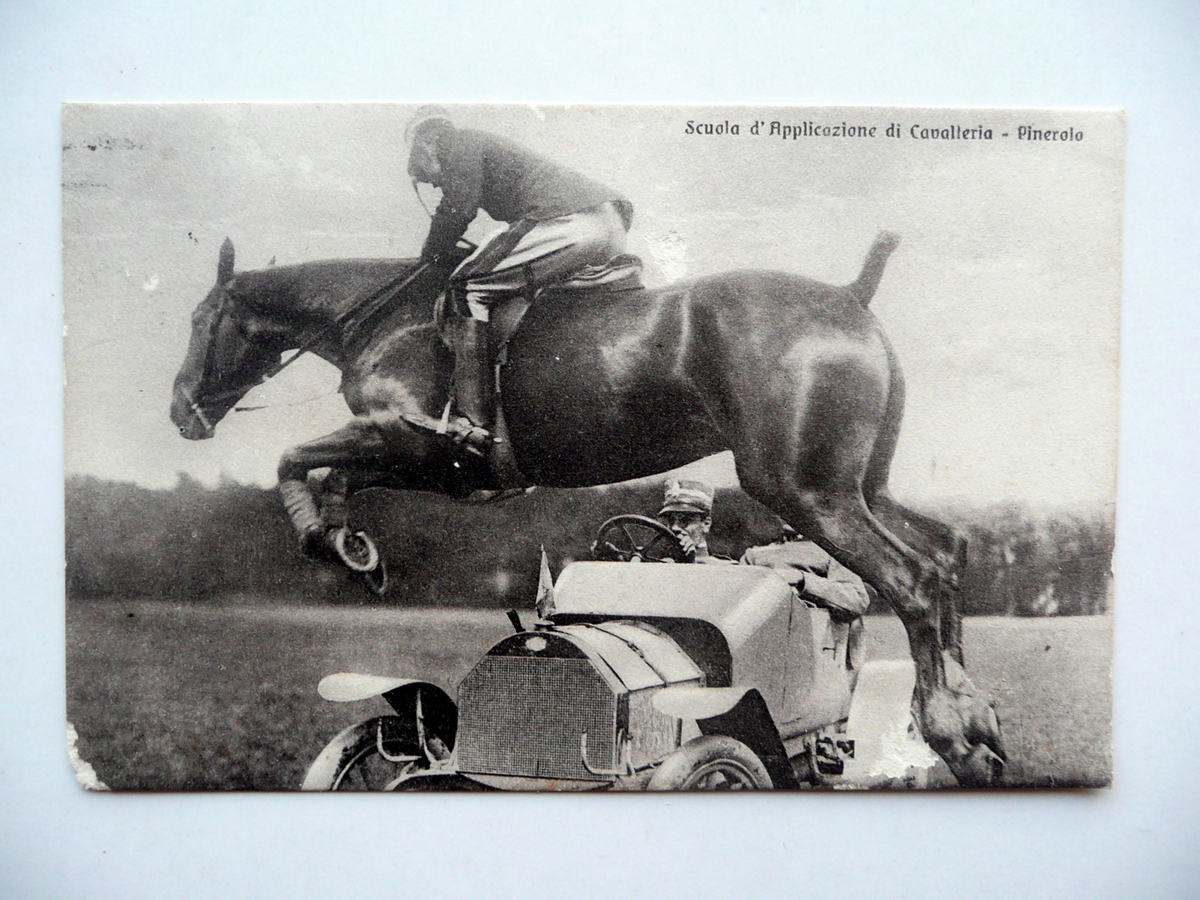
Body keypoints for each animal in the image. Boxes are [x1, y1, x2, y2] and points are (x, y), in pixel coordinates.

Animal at [174, 234, 1008, 787]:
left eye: (199, 320)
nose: (184, 413)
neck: (388, 316)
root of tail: (848, 296)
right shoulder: (423, 464)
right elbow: (325, 473)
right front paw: (352, 545)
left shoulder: (406, 442)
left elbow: (295, 460)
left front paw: (332, 541)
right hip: (861, 487)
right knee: (946, 554)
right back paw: (979, 723)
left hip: (807, 491)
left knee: (913, 578)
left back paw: (953, 733)